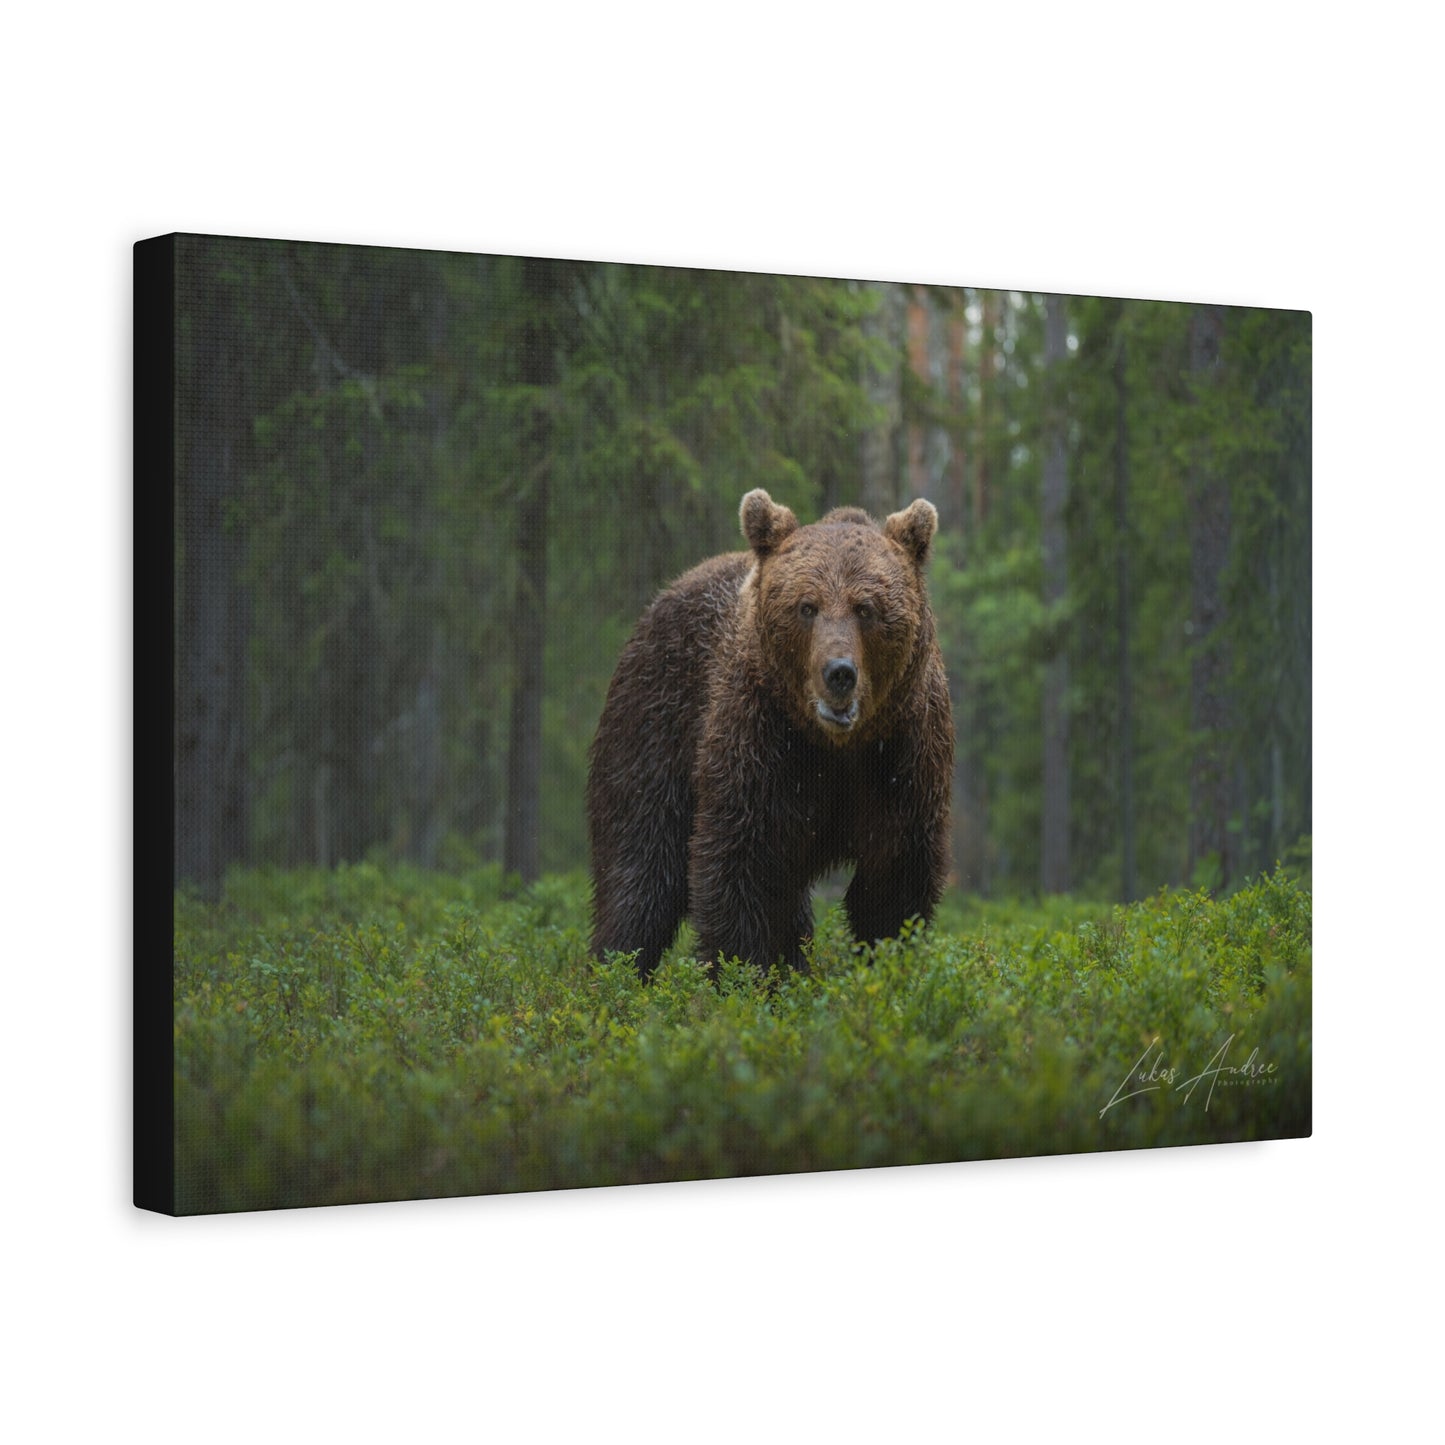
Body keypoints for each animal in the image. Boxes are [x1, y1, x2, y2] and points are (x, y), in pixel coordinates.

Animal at [587, 488, 952, 978]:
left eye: (866, 608)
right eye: (806, 606)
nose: (839, 673)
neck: (837, 745)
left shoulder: (903, 756)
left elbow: (895, 882)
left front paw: (890, 961)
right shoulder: (762, 740)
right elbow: (742, 866)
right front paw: (744, 975)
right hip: (654, 721)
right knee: (640, 867)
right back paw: (613, 970)